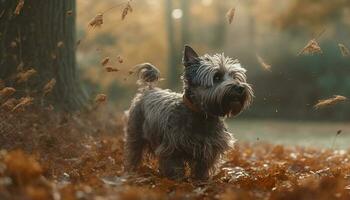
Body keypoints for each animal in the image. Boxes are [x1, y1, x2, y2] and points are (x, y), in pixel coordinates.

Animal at [124, 45, 253, 180]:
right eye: (217, 77)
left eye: (234, 77)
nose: (240, 87)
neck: (202, 116)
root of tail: (148, 90)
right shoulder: (171, 148)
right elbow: (175, 168)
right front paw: (177, 180)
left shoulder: (210, 149)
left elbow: (203, 169)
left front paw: (202, 180)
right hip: (135, 135)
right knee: (134, 153)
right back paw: (131, 171)